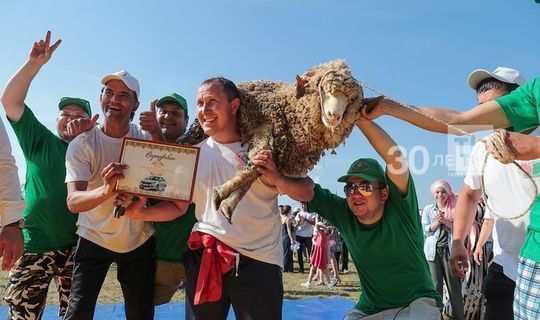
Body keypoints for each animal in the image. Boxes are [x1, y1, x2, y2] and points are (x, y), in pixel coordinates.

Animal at [180, 58, 362, 221]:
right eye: (322, 89)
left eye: (351, 99)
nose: (334, 116)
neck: (289, 107)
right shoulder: (267, 120)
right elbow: (256, 161)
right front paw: (222, 192)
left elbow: (257, 166)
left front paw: (228, 201)